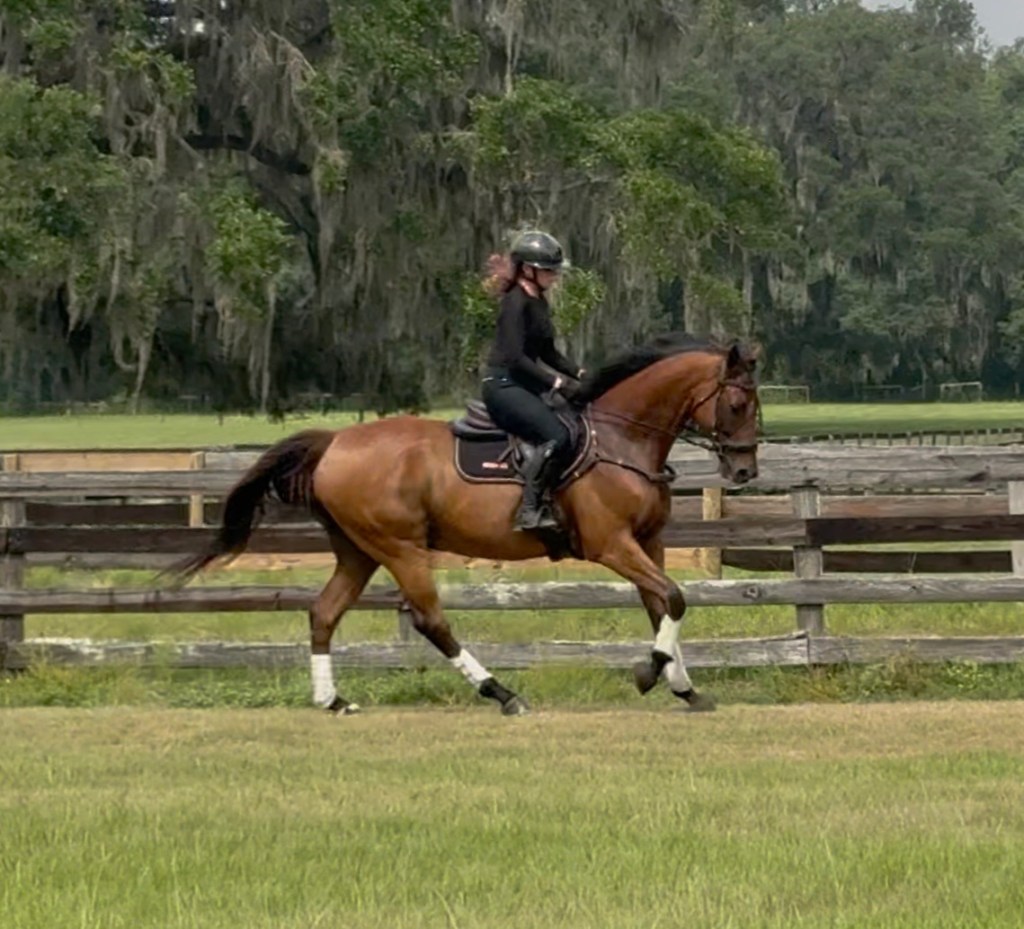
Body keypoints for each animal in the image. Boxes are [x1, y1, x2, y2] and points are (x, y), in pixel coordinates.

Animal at [171, 334, 760, 715]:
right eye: (736, 402)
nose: (745, 472)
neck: (621, 438)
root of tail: (335, 441)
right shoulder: (612, 545)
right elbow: (675, 598)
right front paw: (649, 673)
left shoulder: (648, 544)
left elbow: (664, 605)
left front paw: (682, 687)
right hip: (401, 549)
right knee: (432, 622)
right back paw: (502, 694)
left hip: (358, 551)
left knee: (324, 613)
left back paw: (333, 700)